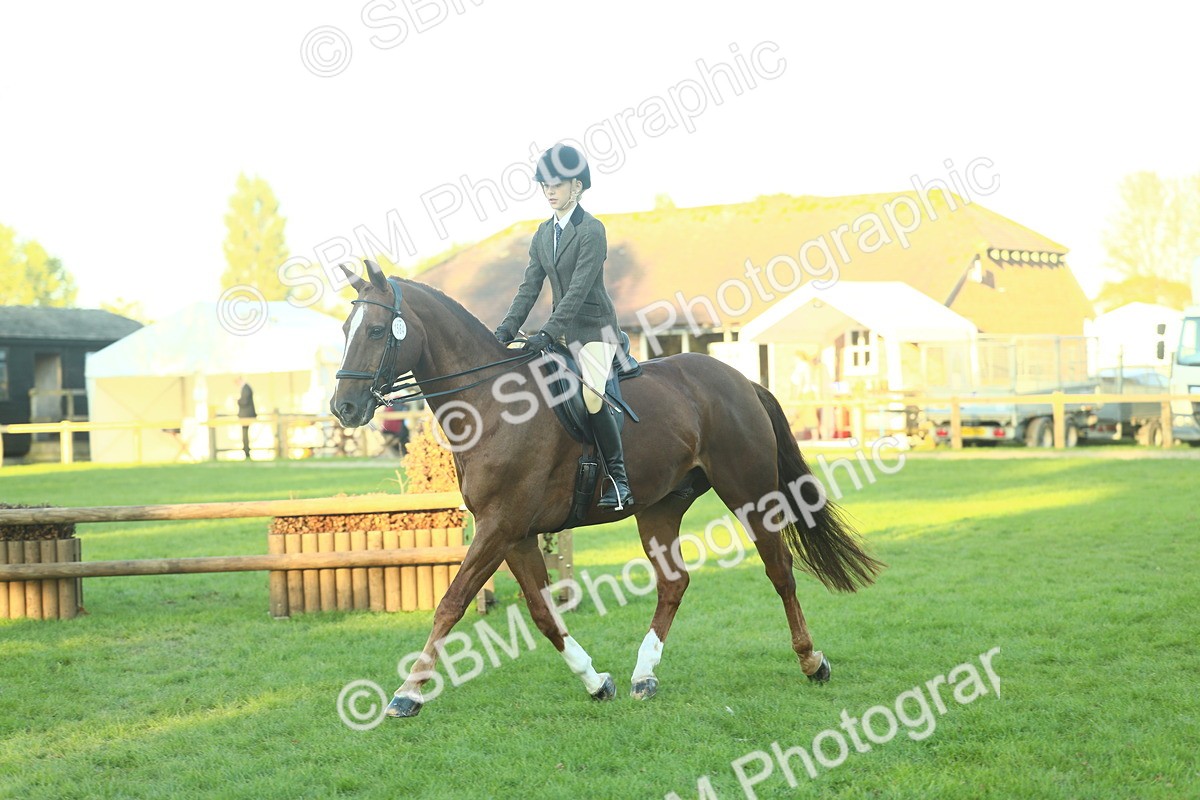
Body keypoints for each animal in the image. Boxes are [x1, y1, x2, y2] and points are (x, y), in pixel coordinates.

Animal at [330, 260, 884, 717]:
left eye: (376, 330)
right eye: (344, 329)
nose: (344, 408)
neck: (490, 403)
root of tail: (739, 379)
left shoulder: (499, 525)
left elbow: (452, 602)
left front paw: (407, 693)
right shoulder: (514, 533)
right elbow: (543, 614)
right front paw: (597, 682)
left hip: (750, 495)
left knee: (780, 570)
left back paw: (812, 661)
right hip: (660, 506)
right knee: (674, 583)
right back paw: (644, 675)